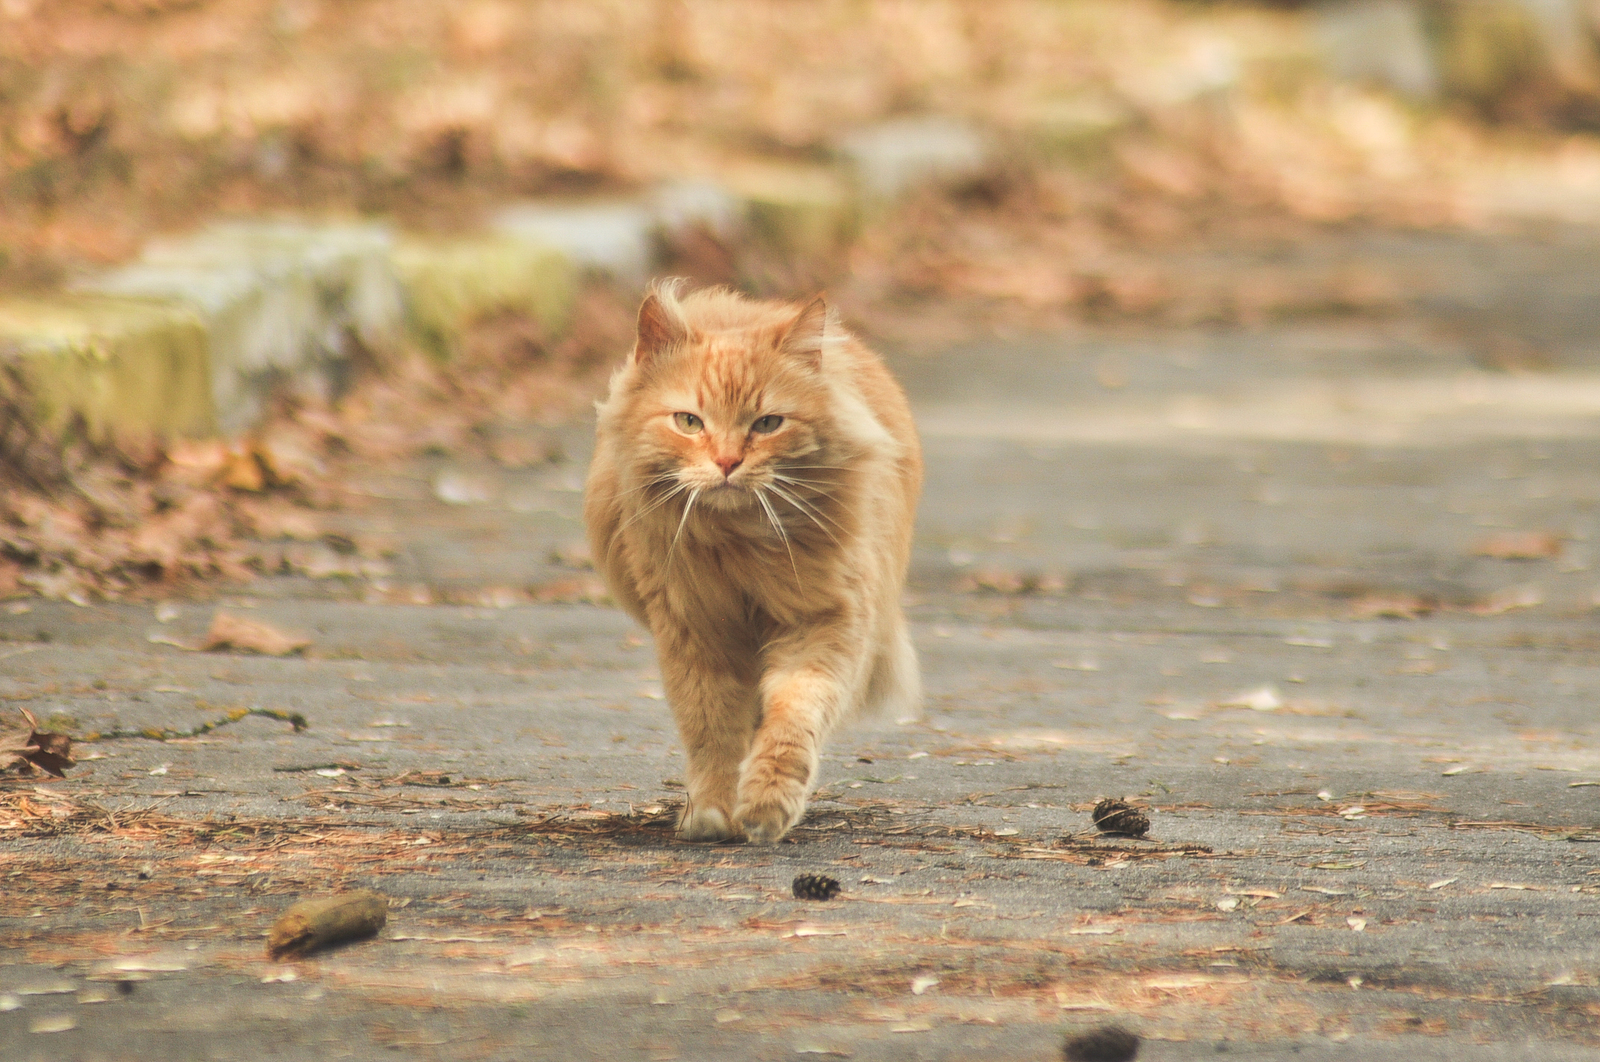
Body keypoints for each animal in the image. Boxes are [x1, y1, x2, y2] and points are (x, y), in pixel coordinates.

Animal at [582, 281, 921, 844]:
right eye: (689, 422)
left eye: (767, 424)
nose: (726, 462)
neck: (738, 547)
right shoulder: (694, 630)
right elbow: (711, 727)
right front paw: (712, 811)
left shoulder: (822, 622)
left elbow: (791, 720)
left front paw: (766, 804)